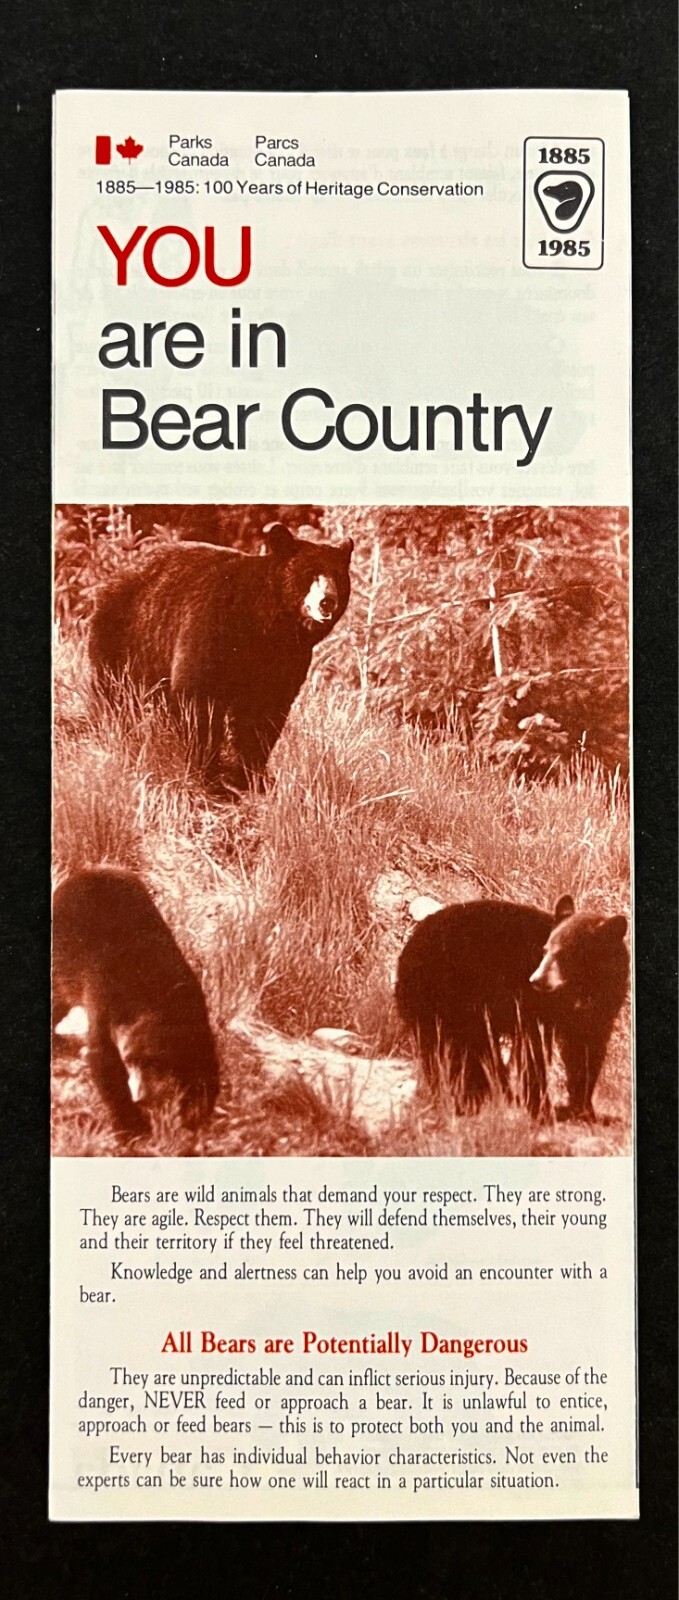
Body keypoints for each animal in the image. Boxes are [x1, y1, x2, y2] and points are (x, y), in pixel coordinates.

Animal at [52, 867, 220, 1136]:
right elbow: (104, 1060)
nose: (142, 1096)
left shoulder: (195, 1012)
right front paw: (133, 1125)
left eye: (164, 1066)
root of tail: (86, 870)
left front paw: (196, 1111)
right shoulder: (104, 1001)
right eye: (132, 1060)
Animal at [88, 522, 353, 792]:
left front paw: (251, 775)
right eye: (309, 573)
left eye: (337, 576)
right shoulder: (213, 627)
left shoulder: (286, 660)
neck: (266, 626)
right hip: (125, 637)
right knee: (115, 693)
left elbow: (264, 713)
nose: (327, 601)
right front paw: (208, 775)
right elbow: (199, 698)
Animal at [394, 895, 629, 1120]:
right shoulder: (528, 1004)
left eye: (565, 954)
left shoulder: (602, 1008)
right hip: (452, 998)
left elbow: (586, 1051)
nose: (536, 980)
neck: (579, 991)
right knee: (459, 1053)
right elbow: (532, 1049)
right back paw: (467, 1100)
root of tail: (408, 950)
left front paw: (583, 1108)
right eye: (545, 950)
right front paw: (542, 1107)